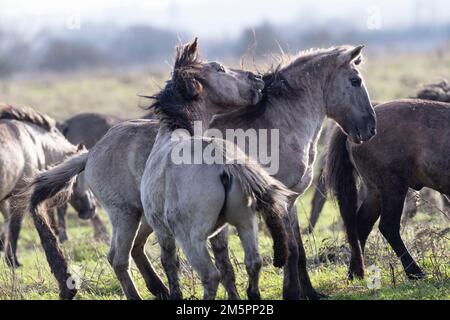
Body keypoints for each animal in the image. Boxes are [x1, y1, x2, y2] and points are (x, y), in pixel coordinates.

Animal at [0, 103, 94, 300]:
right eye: (79, 176)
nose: (92, 208)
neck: (30, 140)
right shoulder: (18, 197)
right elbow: (14, 228)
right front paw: (14, 262)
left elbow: (5, 230)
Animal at [326, 98, 450, 280]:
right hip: (393, 189)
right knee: (388, 227)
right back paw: (415, 272)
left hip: (375, 192)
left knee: (361, 225)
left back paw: (355, 273)